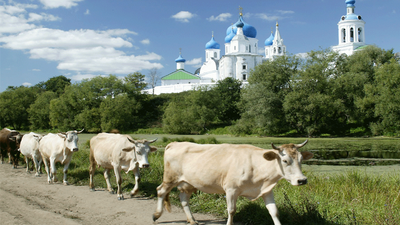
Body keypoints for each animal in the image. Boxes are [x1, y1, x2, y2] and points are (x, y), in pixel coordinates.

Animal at [152, 140, 312, 224]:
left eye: (301, 160)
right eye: (285, 160)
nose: (302, 180)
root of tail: (174, 143)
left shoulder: (267, 190)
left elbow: (274, 212)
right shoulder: (231, 189)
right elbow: (231, 210)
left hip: (188, 183)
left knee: (184, 199)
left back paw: (192, 220)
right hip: (170, 178)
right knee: (160, 191)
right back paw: (156, 215)